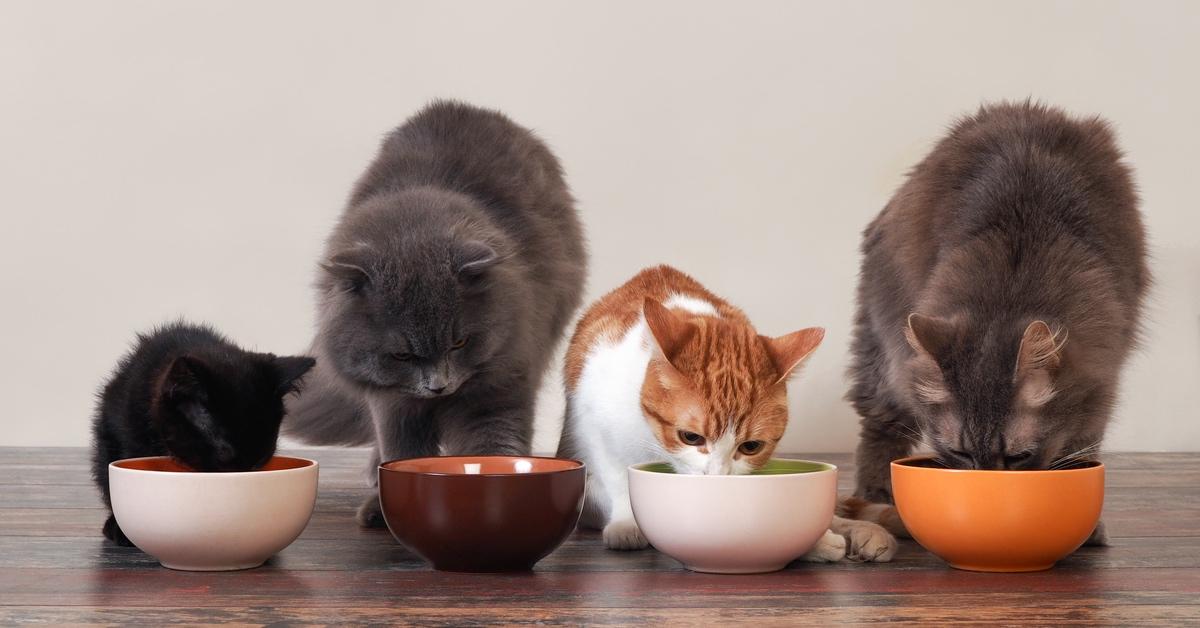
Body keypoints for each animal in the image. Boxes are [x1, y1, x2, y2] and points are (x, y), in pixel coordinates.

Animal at [290, 100, 590, 528]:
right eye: (402, 354)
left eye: (460, 341)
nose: (438, 386)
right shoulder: (393, 403)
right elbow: (401, 449)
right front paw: (383, 503)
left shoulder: (500, 383)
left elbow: (493, 444)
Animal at [556, 267, 897, 561]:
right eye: (690, 437)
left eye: (751, 446)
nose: (718, 478)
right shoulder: (594, 427)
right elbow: (617, 478)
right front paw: (627, 523)